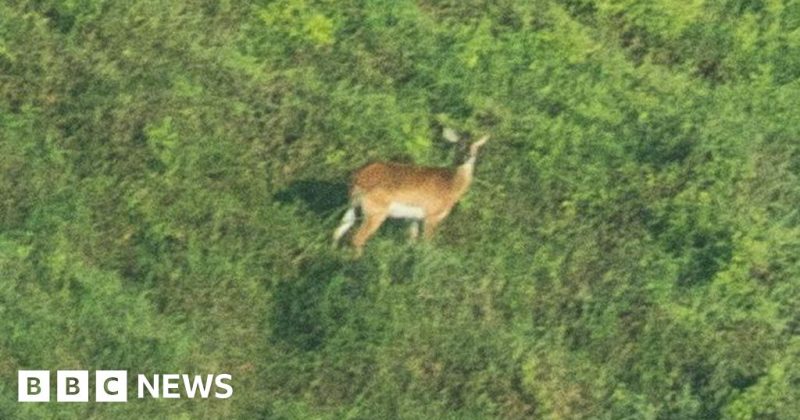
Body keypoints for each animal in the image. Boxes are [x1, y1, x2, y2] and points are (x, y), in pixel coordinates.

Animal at [333, 131, 489, 256]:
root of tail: (357, 176)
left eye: (476, 146)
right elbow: (427, 245)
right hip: (375, 211)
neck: (450, 185)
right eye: (459, 145)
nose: (468, 156)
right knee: (357, 238)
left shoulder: (413, 218)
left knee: (338, 231)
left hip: (353, 205)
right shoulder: (431, 216)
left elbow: (411, 242)